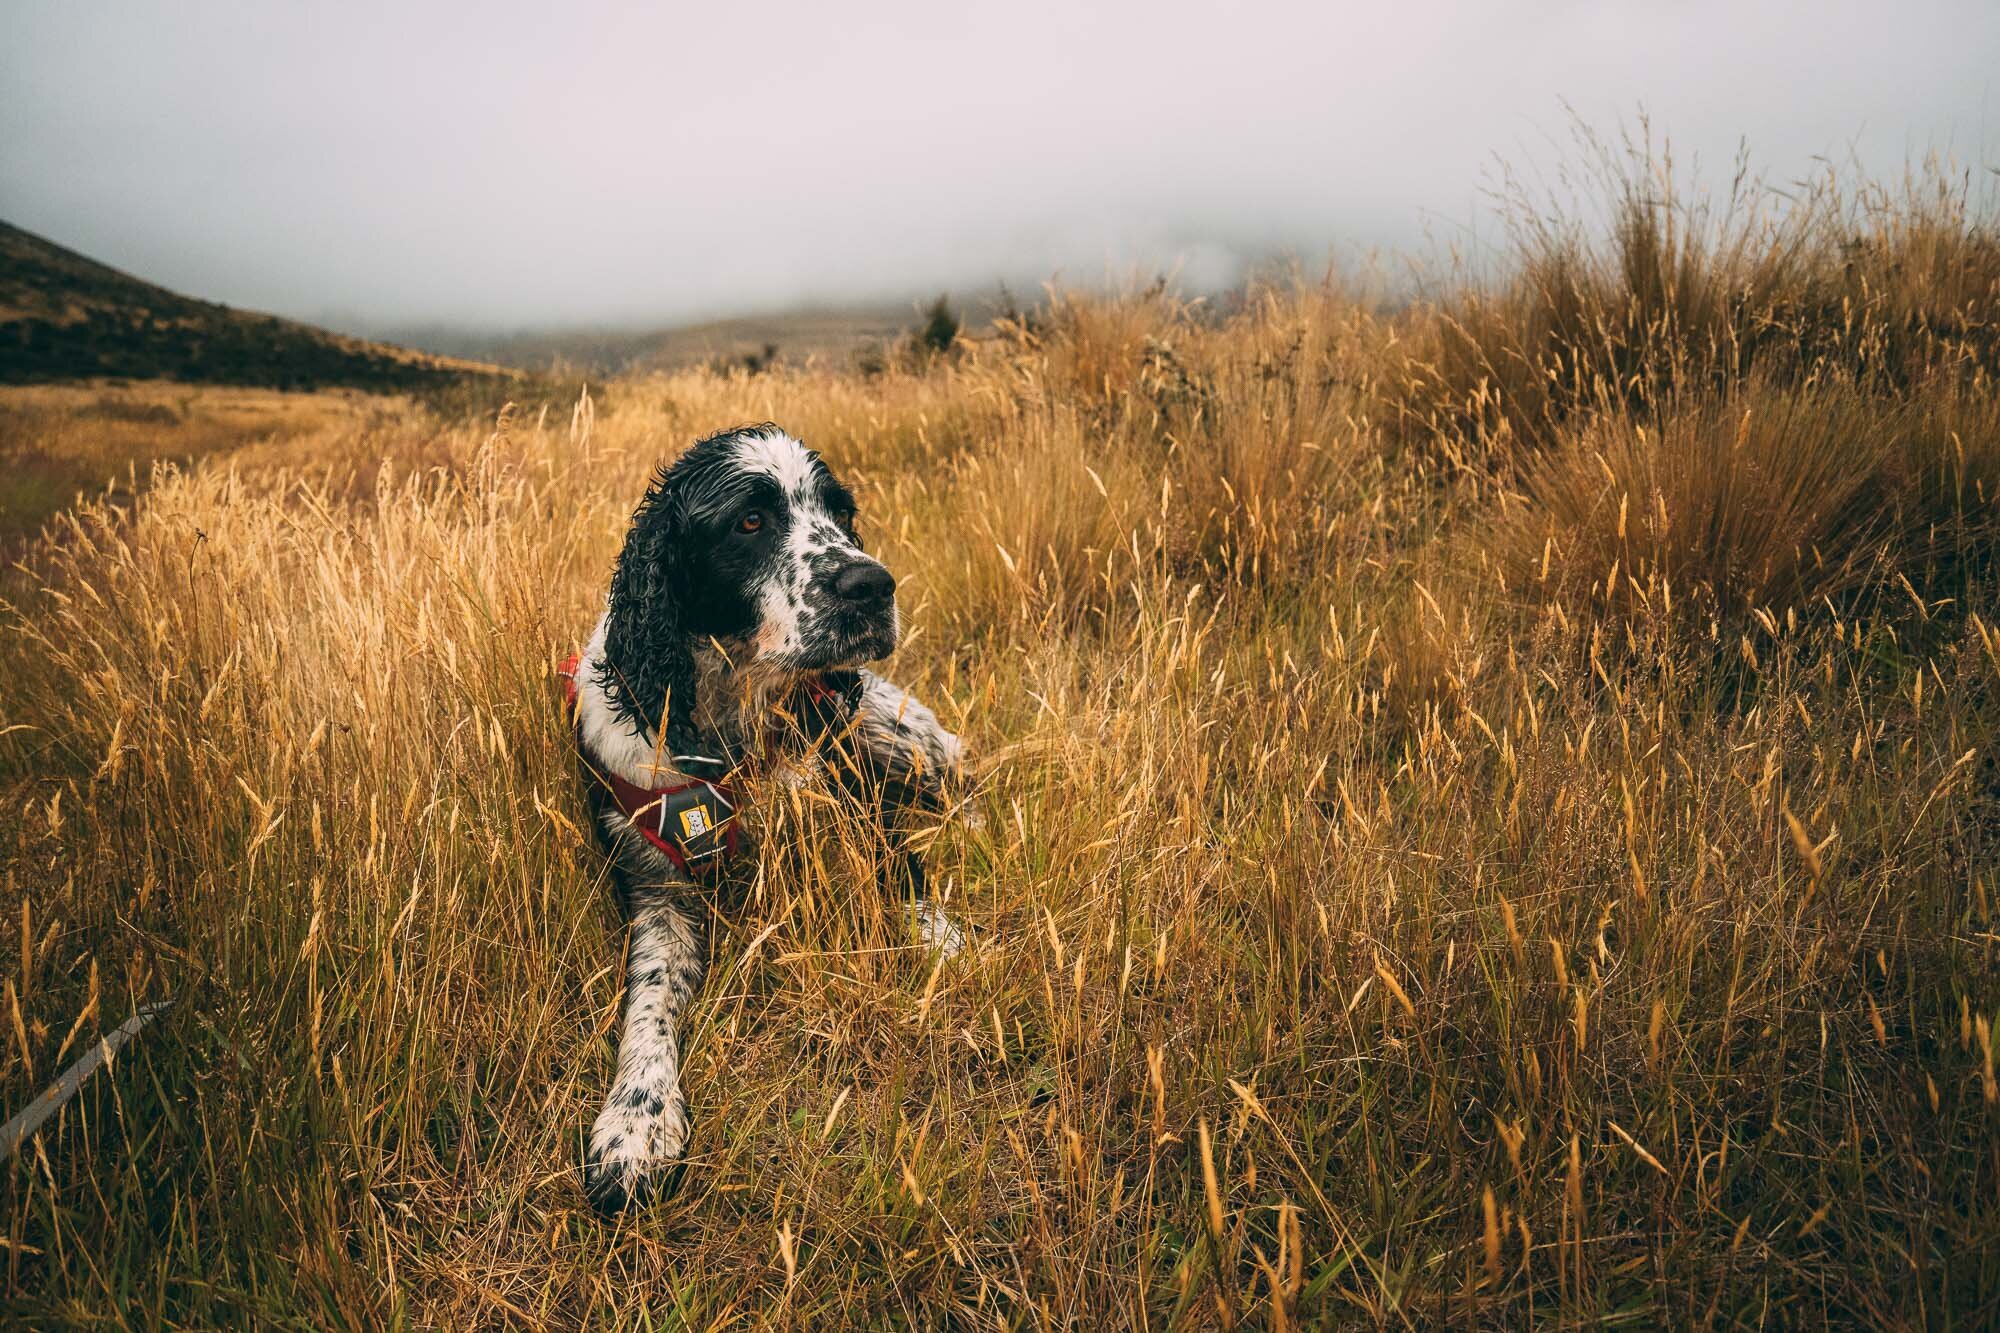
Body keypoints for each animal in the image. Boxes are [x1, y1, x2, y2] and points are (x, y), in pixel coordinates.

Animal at [564, 420, 968, 1208]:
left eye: (841, 512)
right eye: (749, 522)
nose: (873, 585)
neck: (733, 727)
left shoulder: (859, 813)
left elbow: (908, 881)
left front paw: (951, 947)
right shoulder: (659, 888)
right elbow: (648, 1002)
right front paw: (635, 1122)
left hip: (910, 742)